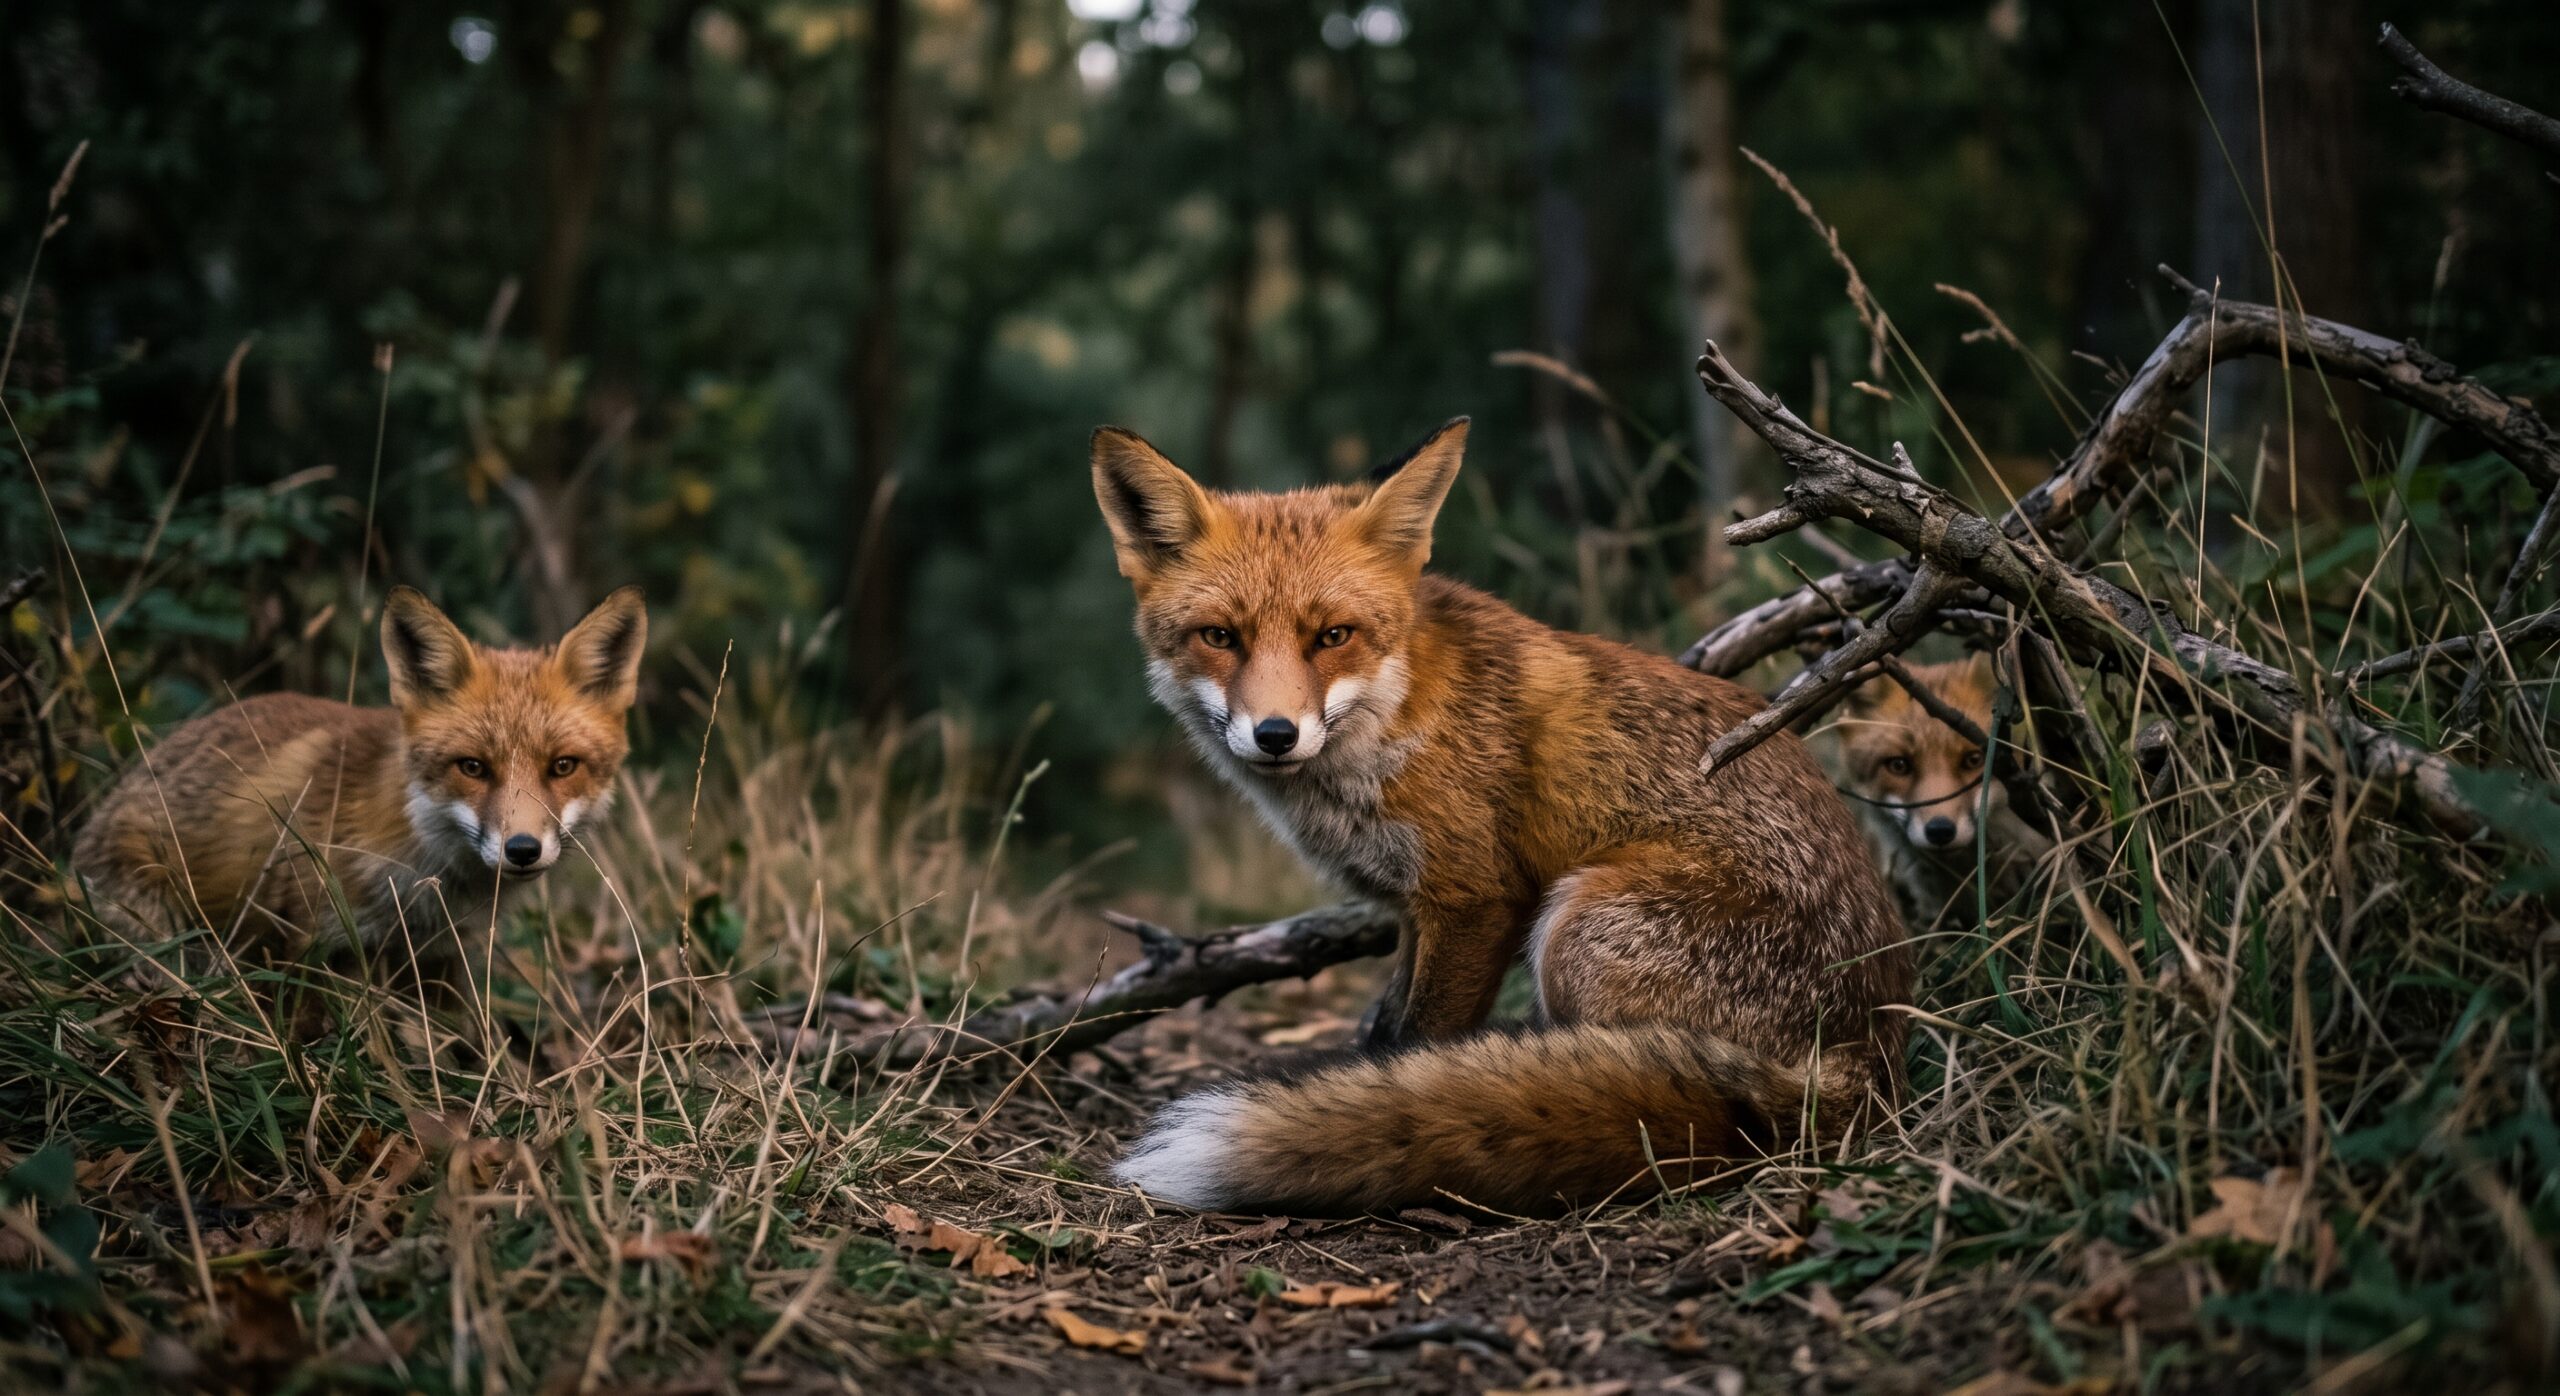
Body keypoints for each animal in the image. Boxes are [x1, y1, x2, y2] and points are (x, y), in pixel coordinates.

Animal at [1093, 418, 1909, 1216]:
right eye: (1219, 637)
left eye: (1333, 636)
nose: (1274, 735)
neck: (1395, 717)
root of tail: (1864, 1066)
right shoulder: (1414, 905)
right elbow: (1390, 1034)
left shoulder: (1476, 898)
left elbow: (1420, 1036)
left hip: (1577, 924)